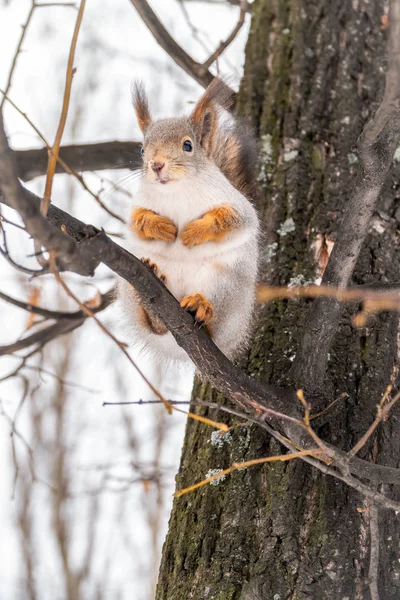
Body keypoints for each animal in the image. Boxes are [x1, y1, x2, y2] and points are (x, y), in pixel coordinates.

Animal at [118, 78, 262, 360]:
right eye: (142, 149)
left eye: (188, 145)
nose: (156, 165)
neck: (177, 190)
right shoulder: (140, 203)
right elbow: (136, 221)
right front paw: (160, 226)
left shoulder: (236, 204)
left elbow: (235, 220)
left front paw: (192, 232)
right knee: (154, 324)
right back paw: (152, 306)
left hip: (227, 284)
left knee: (214, 320)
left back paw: (201, 307)